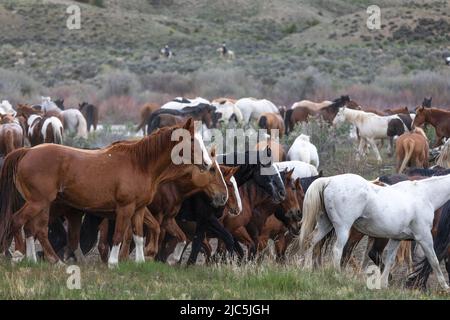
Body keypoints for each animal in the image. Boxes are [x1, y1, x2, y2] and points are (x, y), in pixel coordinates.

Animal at [0, 119, 229, 266]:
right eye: (191, 141)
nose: (207, 164)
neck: (140, 164)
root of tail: (26, 152)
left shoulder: (139, 210)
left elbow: (138, 235)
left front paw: (140, 262)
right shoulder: (125, 208)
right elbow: (119, 235)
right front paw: (113, 262)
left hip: (41, 204)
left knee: (32, 228)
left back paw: (35, 259)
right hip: (39, 202)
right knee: (20, 222)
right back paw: (26, 257)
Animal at [296, 172, 450, 290]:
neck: (424, 195)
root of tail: (329, 180)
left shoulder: (396, 239)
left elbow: (389, 260)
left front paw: (384, 284)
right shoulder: (424, 238)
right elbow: (434, 261)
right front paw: (445, 287)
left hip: (325, 224)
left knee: (310, 242)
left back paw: (306, 269)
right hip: (343, 229)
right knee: (338, 250)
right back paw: (337, 276)